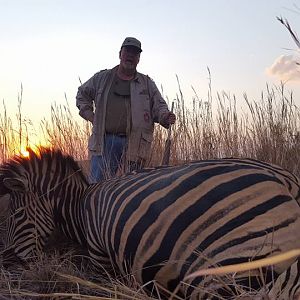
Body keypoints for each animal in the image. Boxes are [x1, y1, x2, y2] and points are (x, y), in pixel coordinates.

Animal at [0, 148, 298, 300]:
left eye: (17, 215)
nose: (8, 260)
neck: (81, 207)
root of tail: (283, 182)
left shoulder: (100, 260)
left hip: (221, 271)